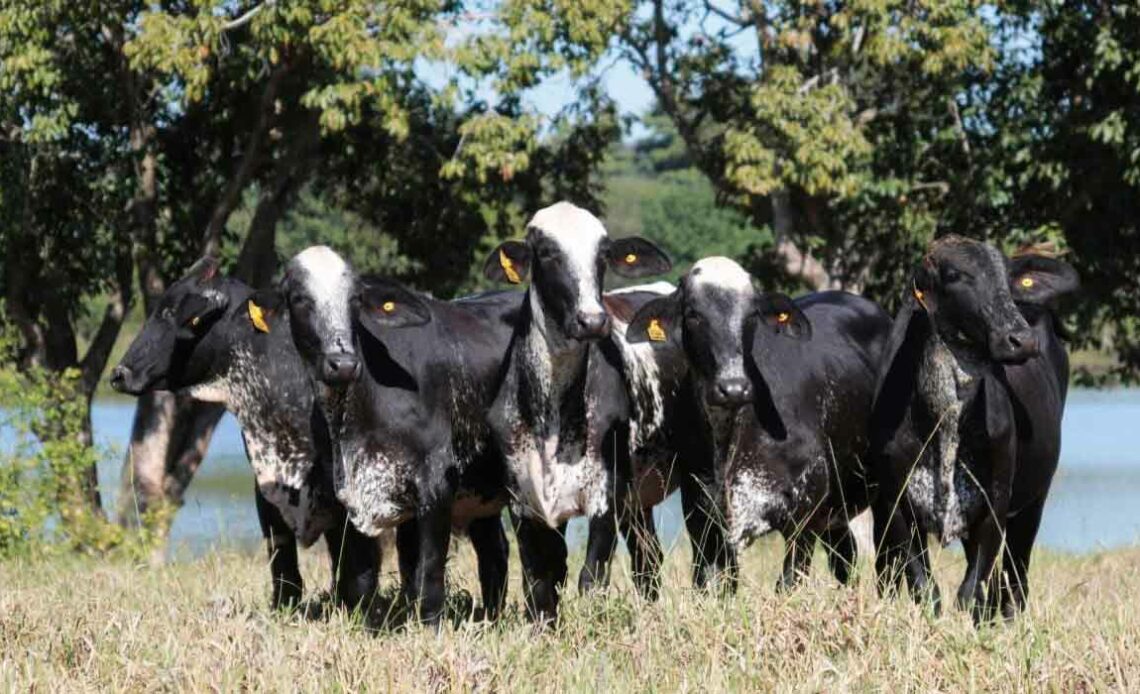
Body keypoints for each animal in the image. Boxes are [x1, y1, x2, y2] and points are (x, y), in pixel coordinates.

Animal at [478, 201, 670, 624]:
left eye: (603, 255)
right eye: (548, 253)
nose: (593, 320)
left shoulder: (605, 497)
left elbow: (591, 578)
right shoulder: (523, 502)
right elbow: (540, 584)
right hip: (638, 500)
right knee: (647, 557)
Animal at [624, 257, 889, 588]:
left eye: (751, 315)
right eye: (693, 314)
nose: (733, 387)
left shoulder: (805, 510)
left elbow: (788, 581)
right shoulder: (700, 511)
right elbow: (711, 581)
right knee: (846, 556)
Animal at [870, 235, 1076, 619]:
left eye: (1008, 277)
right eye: (954, 275)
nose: (1021, 339)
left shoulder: (995, 502)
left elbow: (970, 591)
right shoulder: (896, 503)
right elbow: (925, 589)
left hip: (1033, 502)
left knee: (1013, 582)